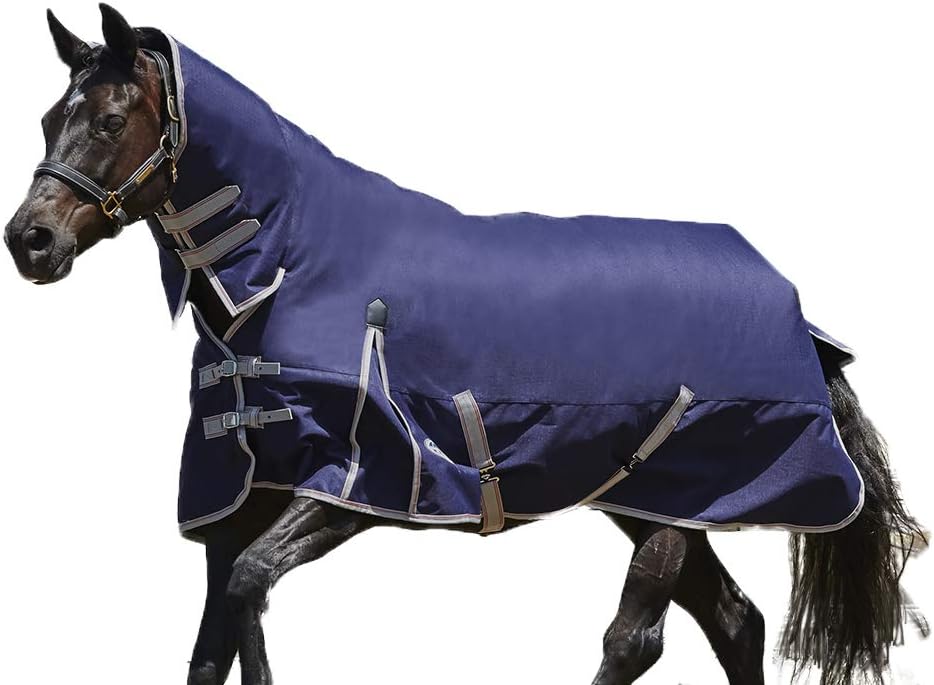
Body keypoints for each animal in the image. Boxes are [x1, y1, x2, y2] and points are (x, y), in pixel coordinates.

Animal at [3, 6, 927, 685]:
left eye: (111, 119)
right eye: (49, 117)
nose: (30, 241)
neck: (291, 265)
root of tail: (794, 307)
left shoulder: (356, 483)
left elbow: (248, 590)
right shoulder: (240, 495)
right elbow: (212, 643)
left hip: (681, 497)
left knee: (637, 638)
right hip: (661, 501)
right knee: (735, 623)